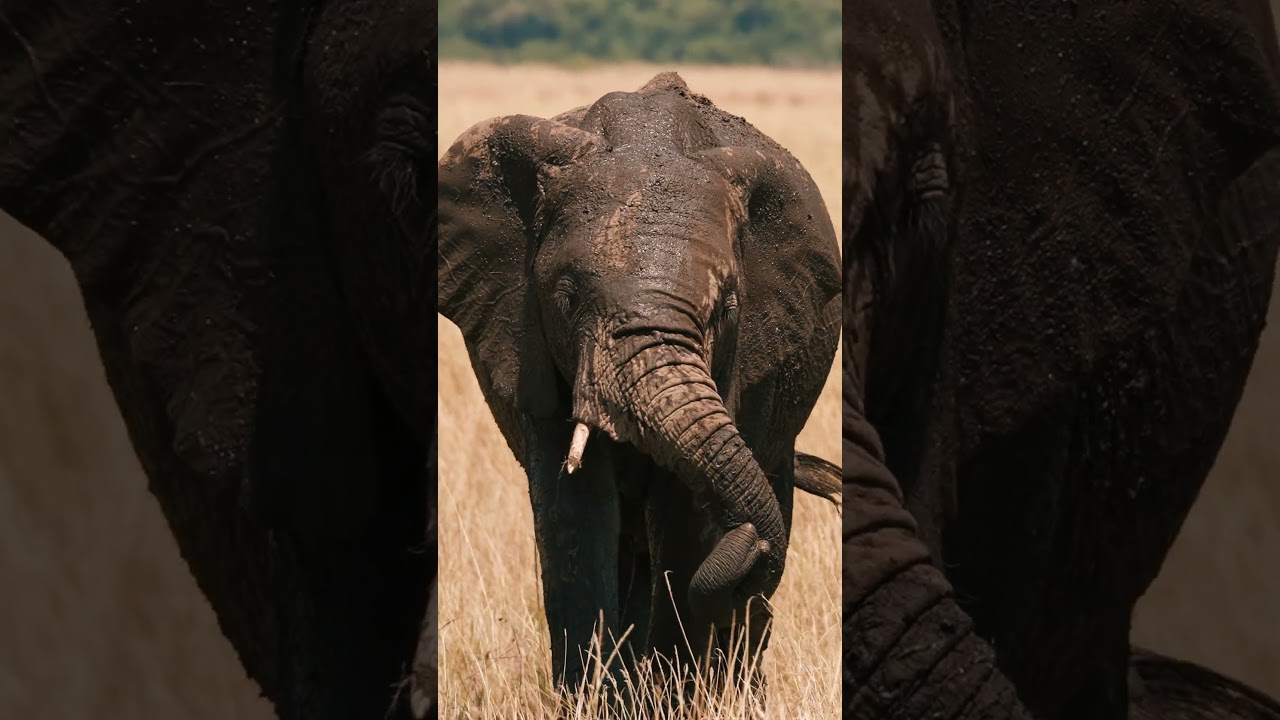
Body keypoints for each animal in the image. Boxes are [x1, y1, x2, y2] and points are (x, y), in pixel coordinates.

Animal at [437, 72, 842, 697]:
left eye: (726, 307)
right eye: (565, 298)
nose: (748, 540)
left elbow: (681, 517)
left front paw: (675, 696)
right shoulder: (534, 348)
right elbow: (575, 512)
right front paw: (592, 699)